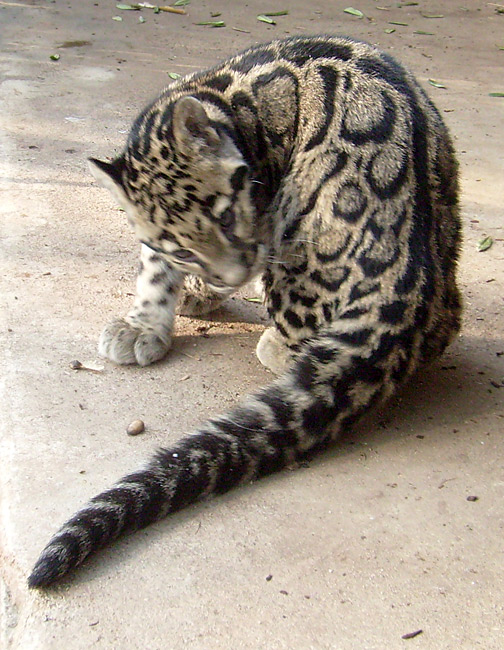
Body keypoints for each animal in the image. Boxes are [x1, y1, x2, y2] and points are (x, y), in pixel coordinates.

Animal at [27, 33, 460, 584]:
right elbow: (154, 264)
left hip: (303, 229)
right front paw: (150, 317)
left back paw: (275, 342)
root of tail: (408, 295)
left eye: (226, 215)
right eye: (186, 248)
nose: (231, 275)